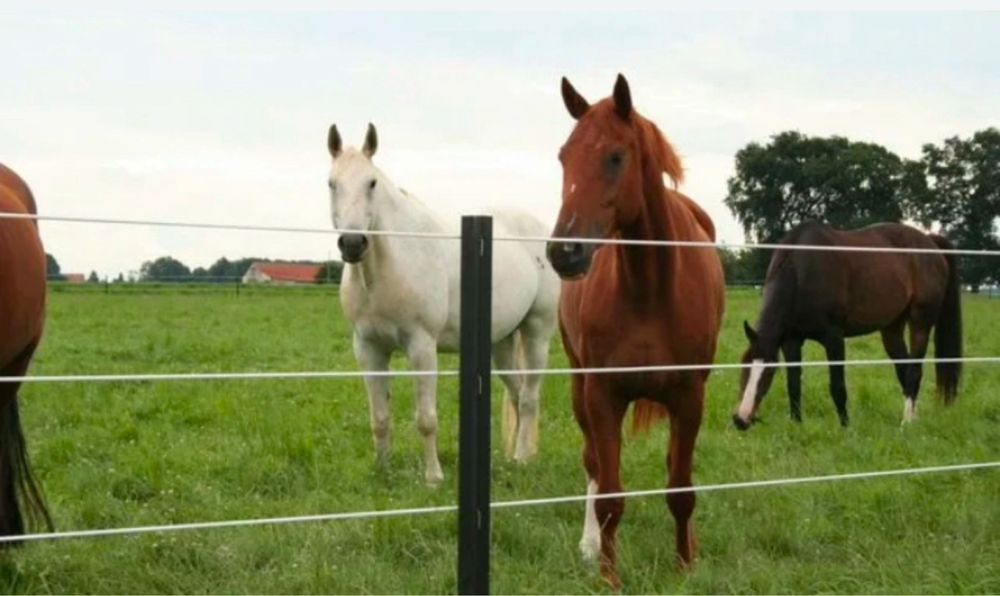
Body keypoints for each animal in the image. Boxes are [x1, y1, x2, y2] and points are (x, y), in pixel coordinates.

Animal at [325, 124, 560, 485]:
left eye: (372, 182)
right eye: (331, 183)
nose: (352, 244)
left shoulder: (422, 346)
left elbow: (426, 418)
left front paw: (433, 478)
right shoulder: (368, 348)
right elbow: (380, 417)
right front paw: (383, 470)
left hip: (537, 332)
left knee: (530, 397)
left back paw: (522, 458)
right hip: (501, 345)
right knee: (518, 393)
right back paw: (514, 459)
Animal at [546, 75, 725, 588]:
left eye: (615, 156)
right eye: (564, 155)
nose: (564, 252)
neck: (649, 289)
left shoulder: (689, 396)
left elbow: (681, 487)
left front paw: (685, 566)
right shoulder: (603, 395)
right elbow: (609, 495)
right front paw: (609, 577)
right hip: (578, 385)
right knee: (591, 463)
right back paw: (588, 546)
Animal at [733, 221, 962, 430]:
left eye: (767, 374)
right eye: (743, 368)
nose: (740, 420)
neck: (801, 269)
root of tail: (929, 243)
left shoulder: (834, 338)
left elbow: (837, 386)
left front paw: (845, 428)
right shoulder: (791, 341)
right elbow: (793, 385)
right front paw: (797, 425)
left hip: (920, 323)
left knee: (914, 371)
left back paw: (906, 422)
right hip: (892, 328)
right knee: (904, 371)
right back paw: (914, 418)